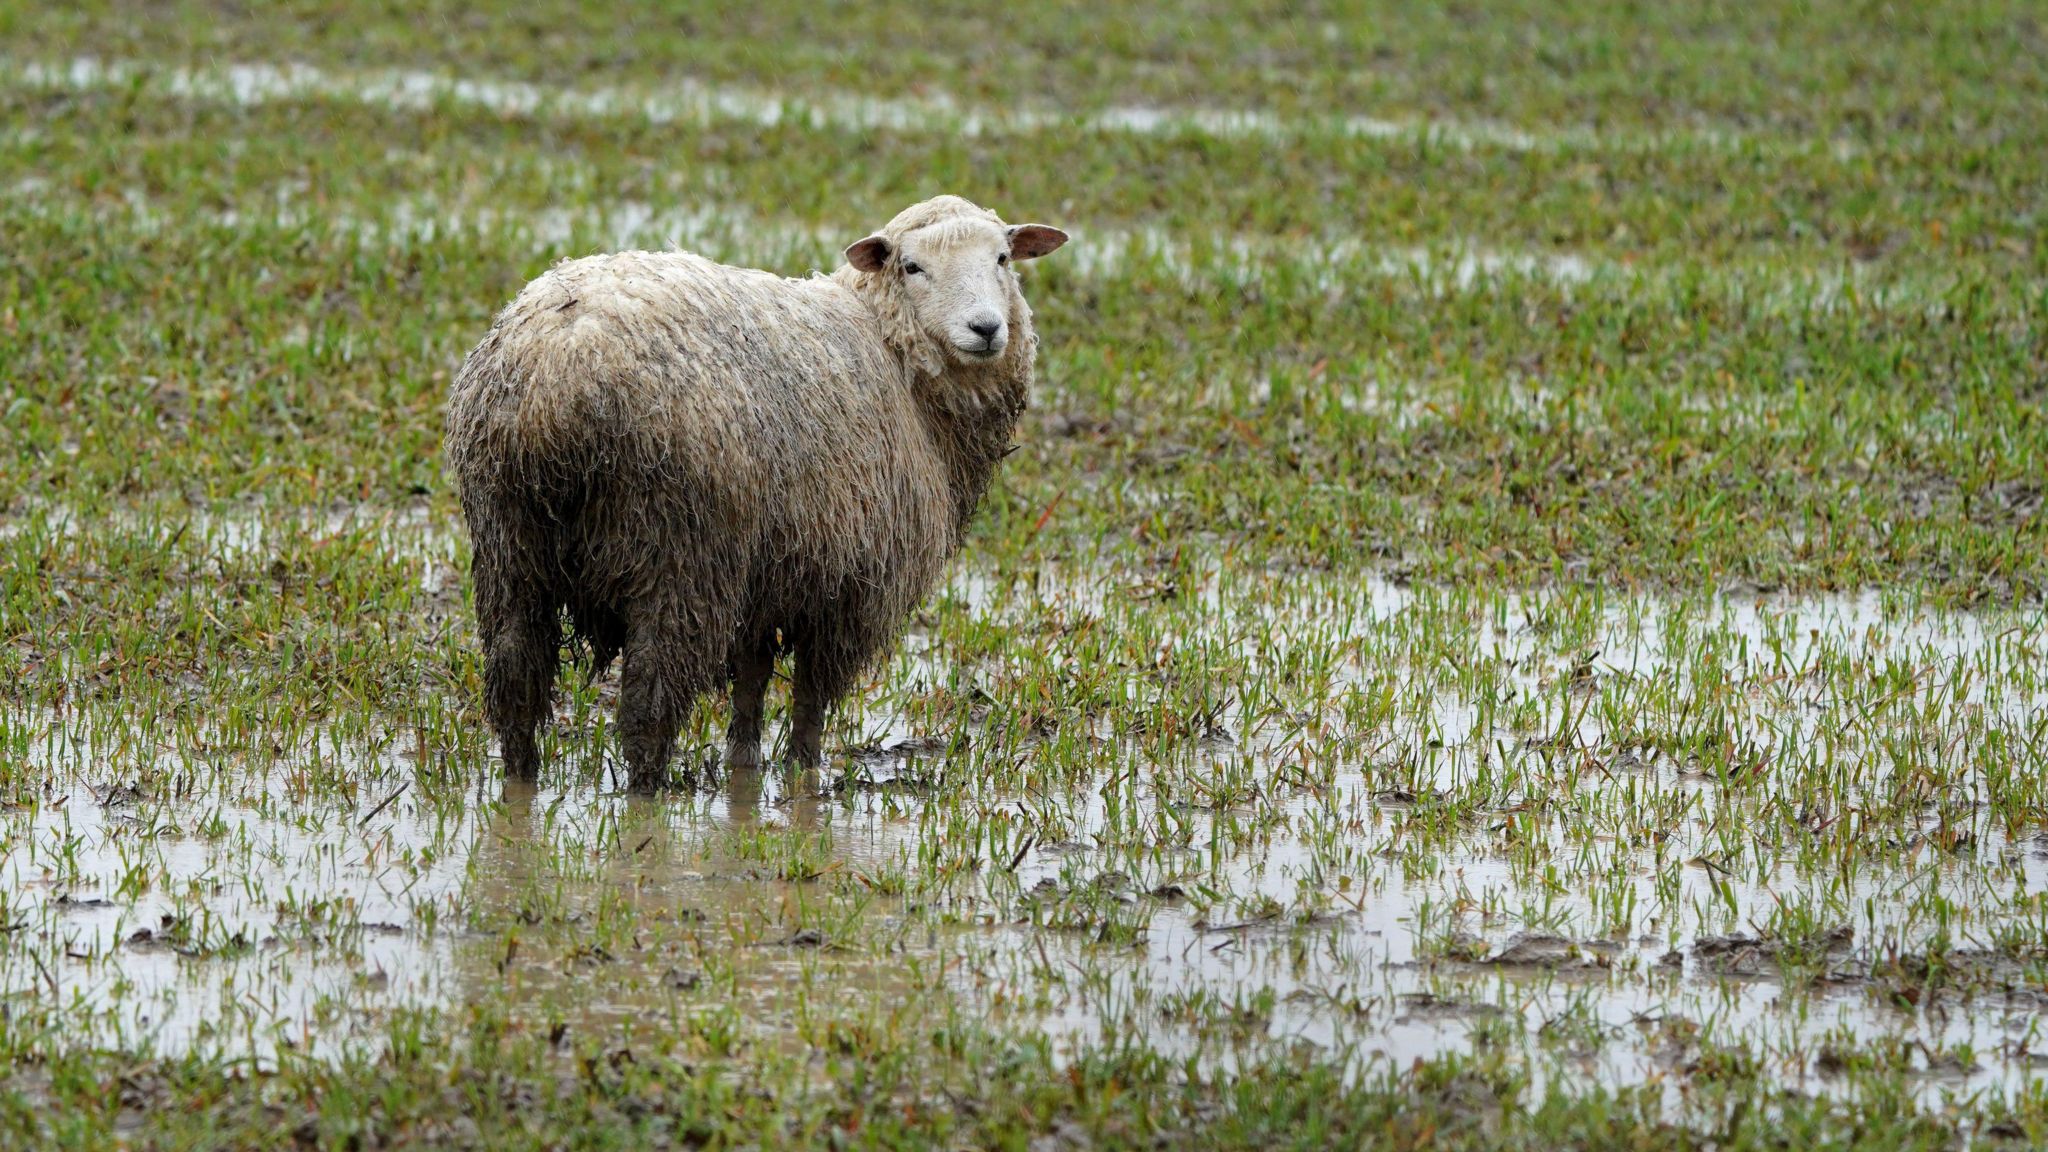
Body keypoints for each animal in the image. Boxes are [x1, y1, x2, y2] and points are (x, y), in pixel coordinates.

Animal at [446, 194, 1073, 787]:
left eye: (1002, 258)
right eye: (912, 266)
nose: (986, 329)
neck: (891, 354)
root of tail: (558, 379)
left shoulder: (769, 571)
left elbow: (750, 681)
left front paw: (744, 768)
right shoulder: (848, 585)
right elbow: (811, 696)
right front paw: (803, 773)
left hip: (509, 542)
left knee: (515, 683)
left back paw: (520, 781)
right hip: (679, 554)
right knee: (648, 704)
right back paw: (645, 794)